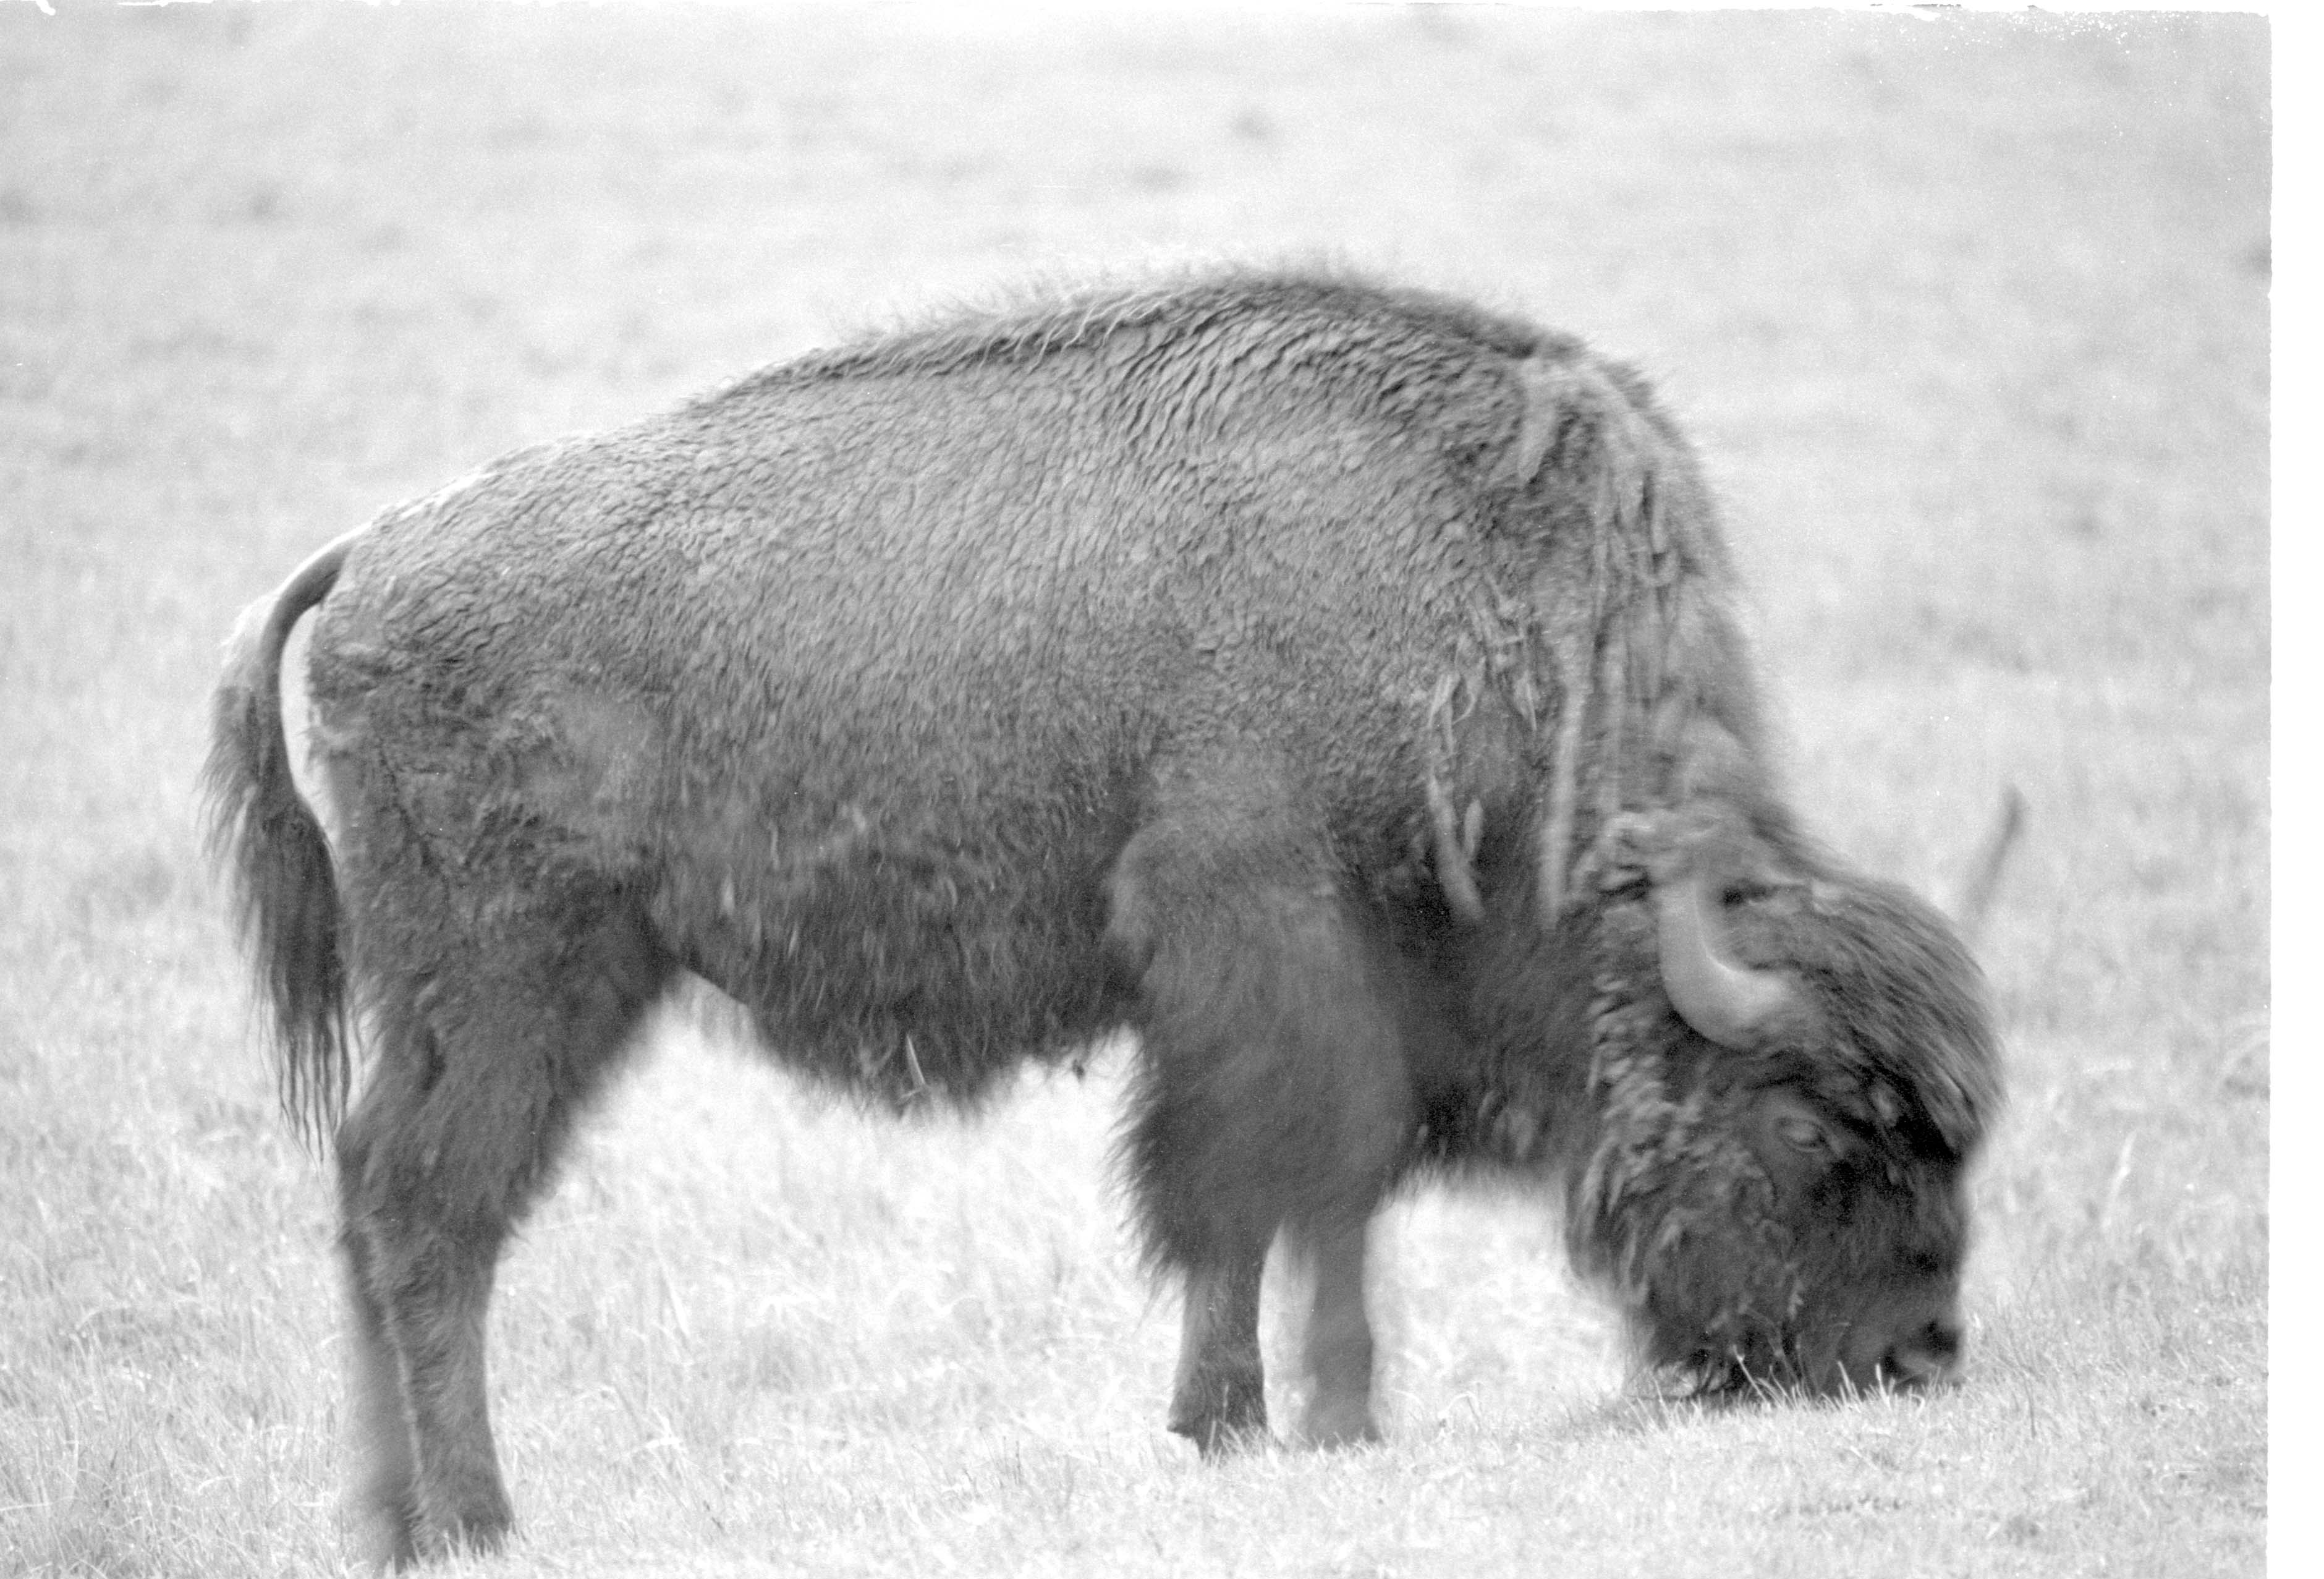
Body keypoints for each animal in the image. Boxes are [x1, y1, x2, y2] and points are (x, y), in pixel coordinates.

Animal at [205, 268, 2000, 1567]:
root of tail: (370, 557)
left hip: (481, 995)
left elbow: (1323, 1195)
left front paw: (1304, 1413)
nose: (1917, 1355)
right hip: (517, 977)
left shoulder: (1346, 989)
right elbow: (1251, 1184)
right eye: (1822, 1125)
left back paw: (391, 1520)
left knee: (375, 1197)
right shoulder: (1251, 937)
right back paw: (478, 1519)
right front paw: (1259, 1417)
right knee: (432, 1210)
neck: (1478, 594)